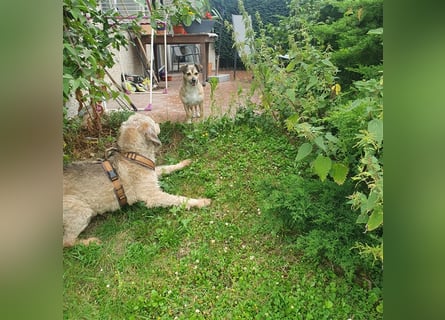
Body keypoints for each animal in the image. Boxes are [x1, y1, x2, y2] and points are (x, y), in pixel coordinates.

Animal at [62, 113, 212, 248]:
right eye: (152, 120)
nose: (159, 123)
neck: (133, 156)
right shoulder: (153, 195)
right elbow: (179, 199)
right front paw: (200, 202)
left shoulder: (153, 173)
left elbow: (166, 168)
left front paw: (183, 163)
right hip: (80, 211)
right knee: (67, 242)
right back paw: (90, 242)